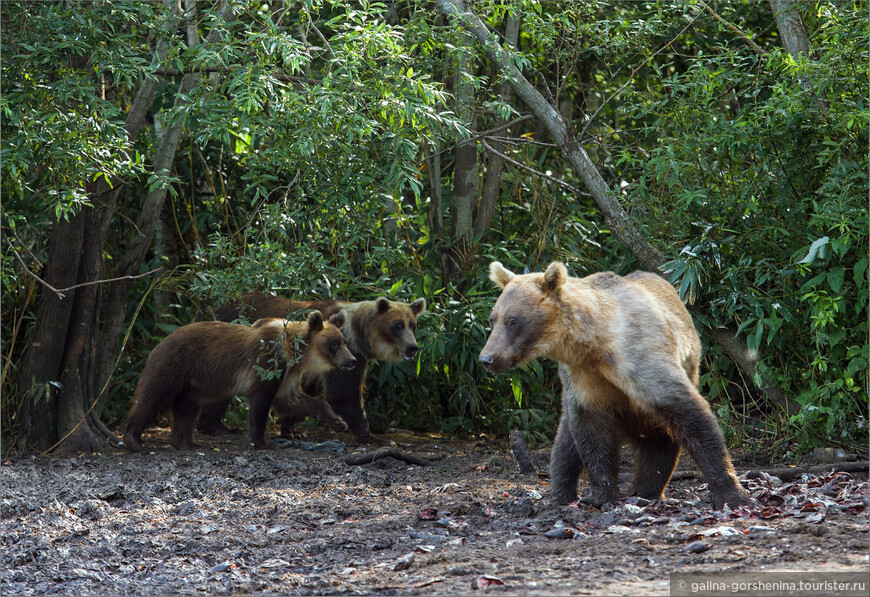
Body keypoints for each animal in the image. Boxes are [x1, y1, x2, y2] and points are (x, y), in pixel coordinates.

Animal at [122, 310, 354, 450]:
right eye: (334, 343)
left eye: (344, 341)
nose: (351, 360)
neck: (296, 353)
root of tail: (159, 343)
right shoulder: (269, 362)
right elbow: (262, 400)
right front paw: (261, 441)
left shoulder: (289, 373)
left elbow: (292, 399)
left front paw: (338, 420)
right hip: (175, 366)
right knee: (154, 396)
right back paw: (133, 439)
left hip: (191, 383)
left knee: (186, 407)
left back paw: (187, 443)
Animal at [201, 294, 426, 442]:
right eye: (398, 325)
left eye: (413, 325)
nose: (412, 347)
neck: (360, 336)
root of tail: (211, 305)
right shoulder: (346, 353)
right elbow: (344, 394)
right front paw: (372, 436)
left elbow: (303, 393)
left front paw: (291, 429)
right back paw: (217, 426)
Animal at [480, 258, 752, 510]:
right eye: (493, 319)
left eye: (513, 320)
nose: (487, 358)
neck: (595, 343)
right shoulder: (583, 379)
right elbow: (592, 434)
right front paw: (603, 494)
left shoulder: (641, 358)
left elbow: (690, 415)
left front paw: (731, 494)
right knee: (566, 442)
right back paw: (561, 496)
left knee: (660, 437)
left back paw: (647, 490)